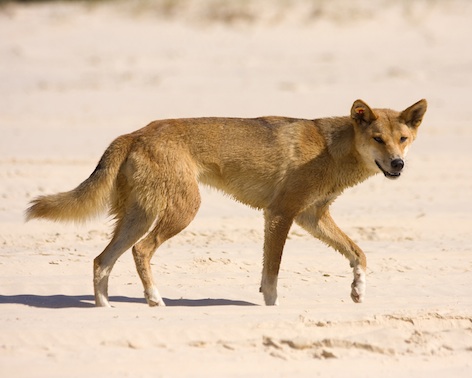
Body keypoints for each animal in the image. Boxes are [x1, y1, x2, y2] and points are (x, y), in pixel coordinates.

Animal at [25, 99, 428, 306]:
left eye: (403, 139)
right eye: (377, 139)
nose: (398, 164)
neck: (331, 149)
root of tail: (135, 132)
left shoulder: (311, 217)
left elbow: (358, 252)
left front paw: (358, 289)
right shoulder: (281, 213)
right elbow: (272, 275)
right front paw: (272, 310)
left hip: (140, 214)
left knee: (102, 260)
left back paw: (105, 309)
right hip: (182, 209)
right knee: (141, 251)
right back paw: (154, 299)